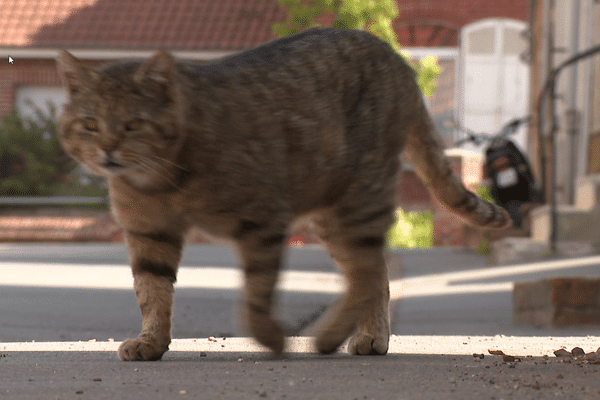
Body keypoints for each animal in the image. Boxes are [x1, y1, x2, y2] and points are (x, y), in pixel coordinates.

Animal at [56, 26, 508, 360]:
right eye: (90, 124)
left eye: (132, 124)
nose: (108, 149)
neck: (162, 180)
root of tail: (394, 57)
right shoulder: (149, 231)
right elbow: (151, 290)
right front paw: (151, 341)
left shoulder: (263, 219)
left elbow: (257, 293)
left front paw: (269, 336)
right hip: (334, 216)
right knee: (372, 273)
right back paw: (364, 336)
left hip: (357, 200)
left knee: (366, 272)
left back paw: (333, 336)